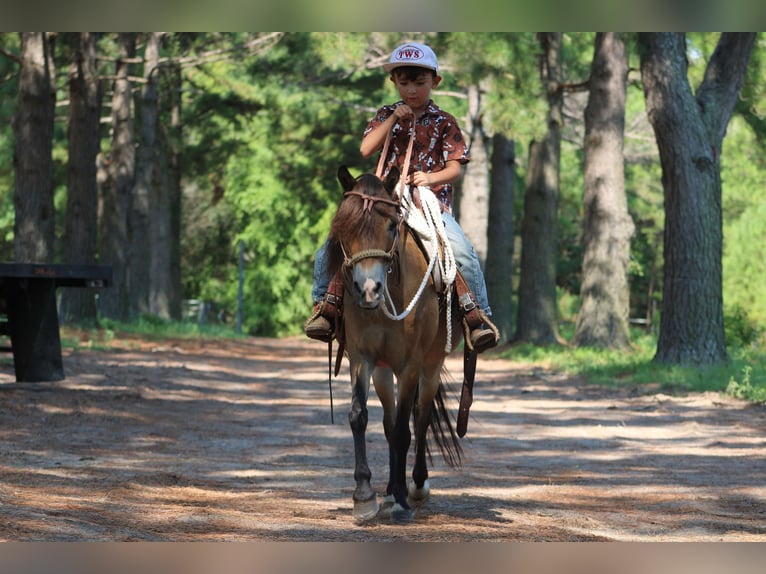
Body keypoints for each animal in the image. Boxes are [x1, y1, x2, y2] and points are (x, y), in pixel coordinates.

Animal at [326, 164, 462, 524]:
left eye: (390, 226)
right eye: (344, 226)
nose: (368, 290)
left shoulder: (411, 364)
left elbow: (405, 429)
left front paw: (401, 499)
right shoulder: (362, 358)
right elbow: (360, 416)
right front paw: (364, 496)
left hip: (430, 366)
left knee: (421, 417)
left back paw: (415, 486)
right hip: (384, 372)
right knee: (389, 422)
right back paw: (388, 491)